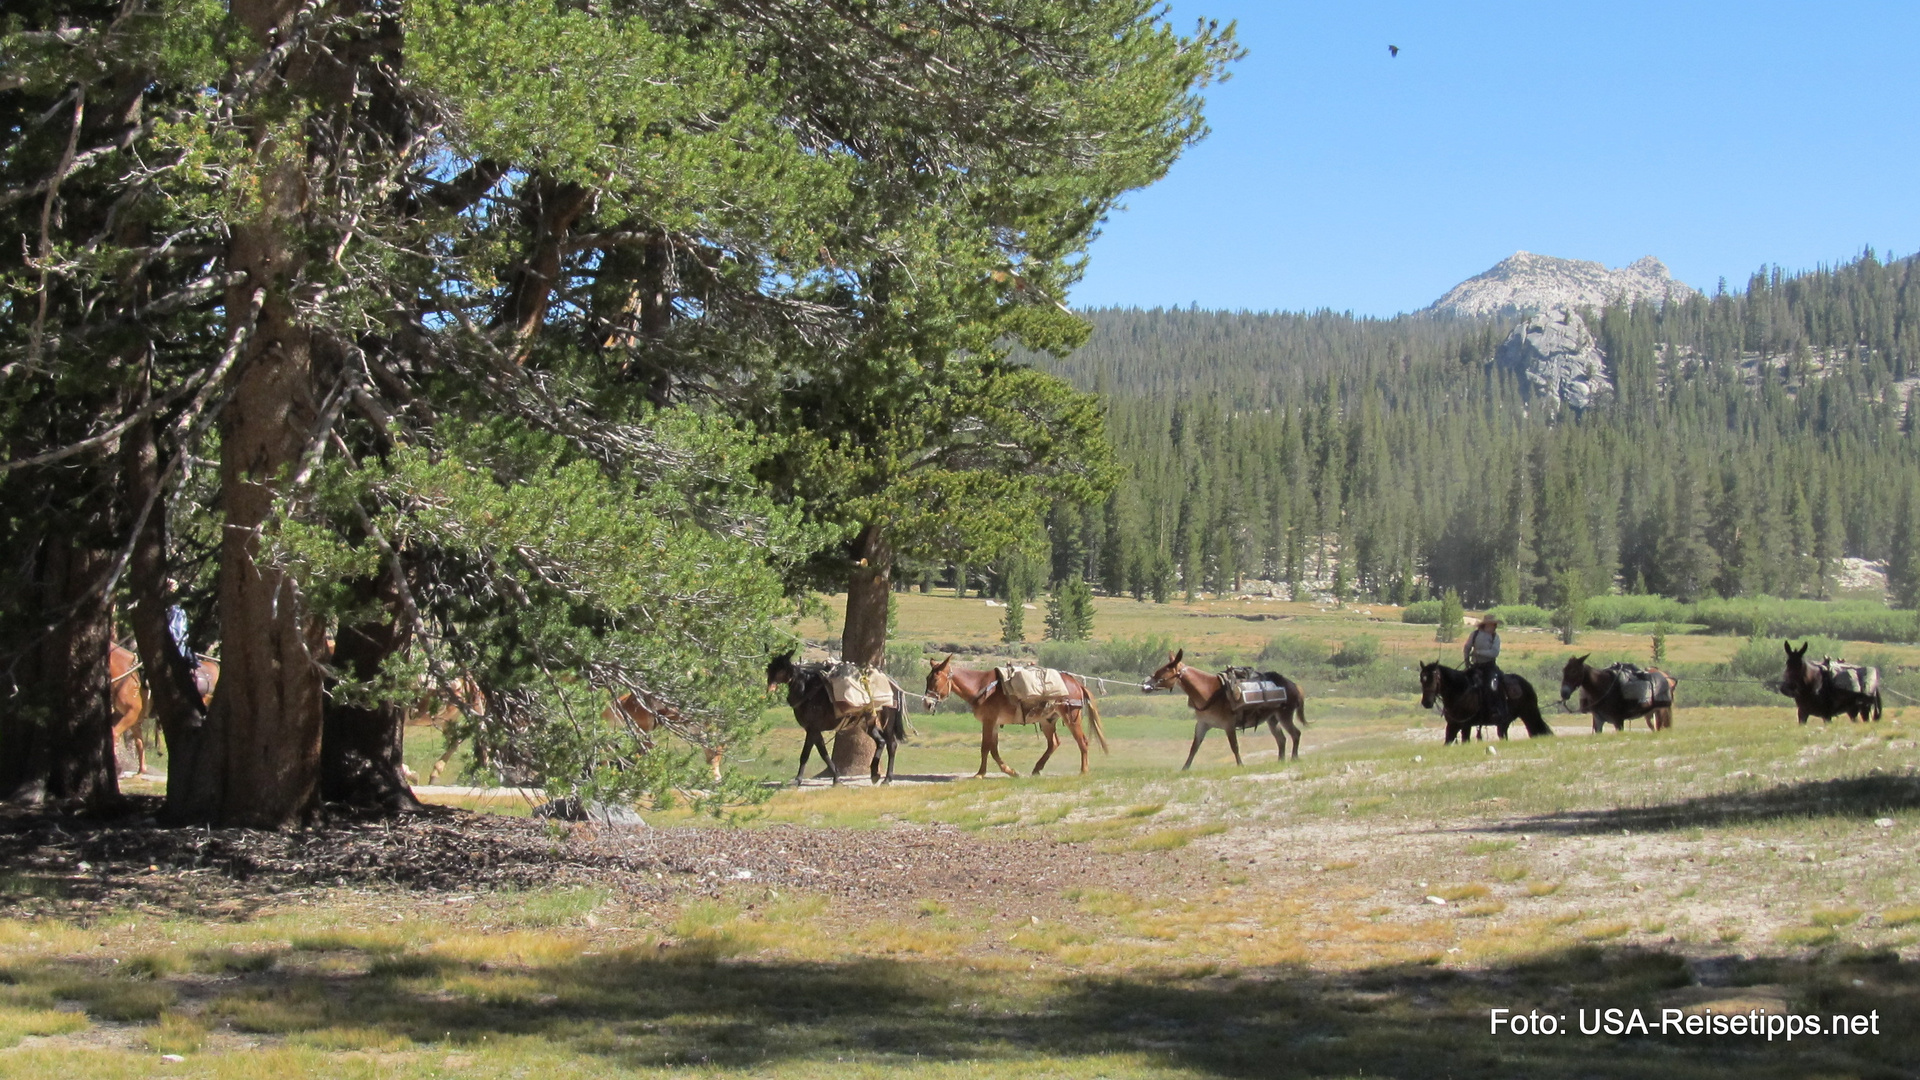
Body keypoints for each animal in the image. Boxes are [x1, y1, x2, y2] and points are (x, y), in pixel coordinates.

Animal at [764, 645, 906, 780]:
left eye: (782, 668)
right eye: (769, 667)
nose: (770, 687)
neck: (807, 690)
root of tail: (893, 683)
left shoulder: (812, 729)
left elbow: (806, 754)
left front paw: (798, 779)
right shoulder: (814, 730)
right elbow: (824, 753)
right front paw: (836, 777)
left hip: (887, 721)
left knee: (891, 744)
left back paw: (887, 778)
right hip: (867, 723)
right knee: (881, 741)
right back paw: (875, 773)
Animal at [925, 657, 1113, 772]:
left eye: (935, 680)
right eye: (927, 679)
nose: (926, 703)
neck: (981, 686)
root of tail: (1076, 683)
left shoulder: (989, 721)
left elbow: (985, 747)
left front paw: (980, 774)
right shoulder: (993, 723)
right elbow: (993, 749)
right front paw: (1009, 771)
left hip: (1071, 718)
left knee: (1082, 741)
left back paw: (1083, 771)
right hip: (1047, 720)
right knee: (1053, 743)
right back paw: (1037, 769)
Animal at [1136, 645, 1305, 764]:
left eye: (1163, 672)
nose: (1144, 685)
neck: (1209, 692)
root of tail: (1293, 685)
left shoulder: (1229, 725)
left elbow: (1234, 747)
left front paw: (1240, 765)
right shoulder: (1202, 724)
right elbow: (1194, 748)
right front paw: (1184, 769)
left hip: (1285, 716)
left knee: (1295, 734)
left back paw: (1294, 758)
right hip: (1272, 719)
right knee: (1281, 739)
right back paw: (1280, 761)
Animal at [1420, 661, 1551, 745]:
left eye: (1434, 678)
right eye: (1422, 679)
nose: (1426, 702)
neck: (1461, 691)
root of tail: (1526, 684)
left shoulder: (1466, 725)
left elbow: (1465, 741)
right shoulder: (1453, 725)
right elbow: (1448, 741)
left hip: (1528, 713)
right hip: (1506, 722)